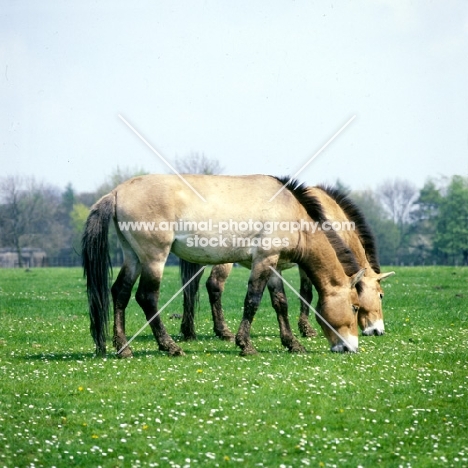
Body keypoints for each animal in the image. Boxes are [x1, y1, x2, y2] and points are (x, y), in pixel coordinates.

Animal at [81, 174, 366, 356]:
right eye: (354, 307)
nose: (351, 347)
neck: (293, 214)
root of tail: (117, 192)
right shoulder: (263, 260)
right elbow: (252, 301)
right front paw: (245, 345)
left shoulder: (273, 264)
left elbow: (280, 303)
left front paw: (292, 344)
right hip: (154, 258)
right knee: (146, 297)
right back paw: (170, 346)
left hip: (134, 257)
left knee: (120, 292)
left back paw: (123, 348)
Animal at [179, 185, 394, 342]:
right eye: (381, 295)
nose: (378, 331)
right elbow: (307, 293)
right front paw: (307, 329)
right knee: (214, 285)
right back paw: (222, 331)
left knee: (191, 288)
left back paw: (189, 331)